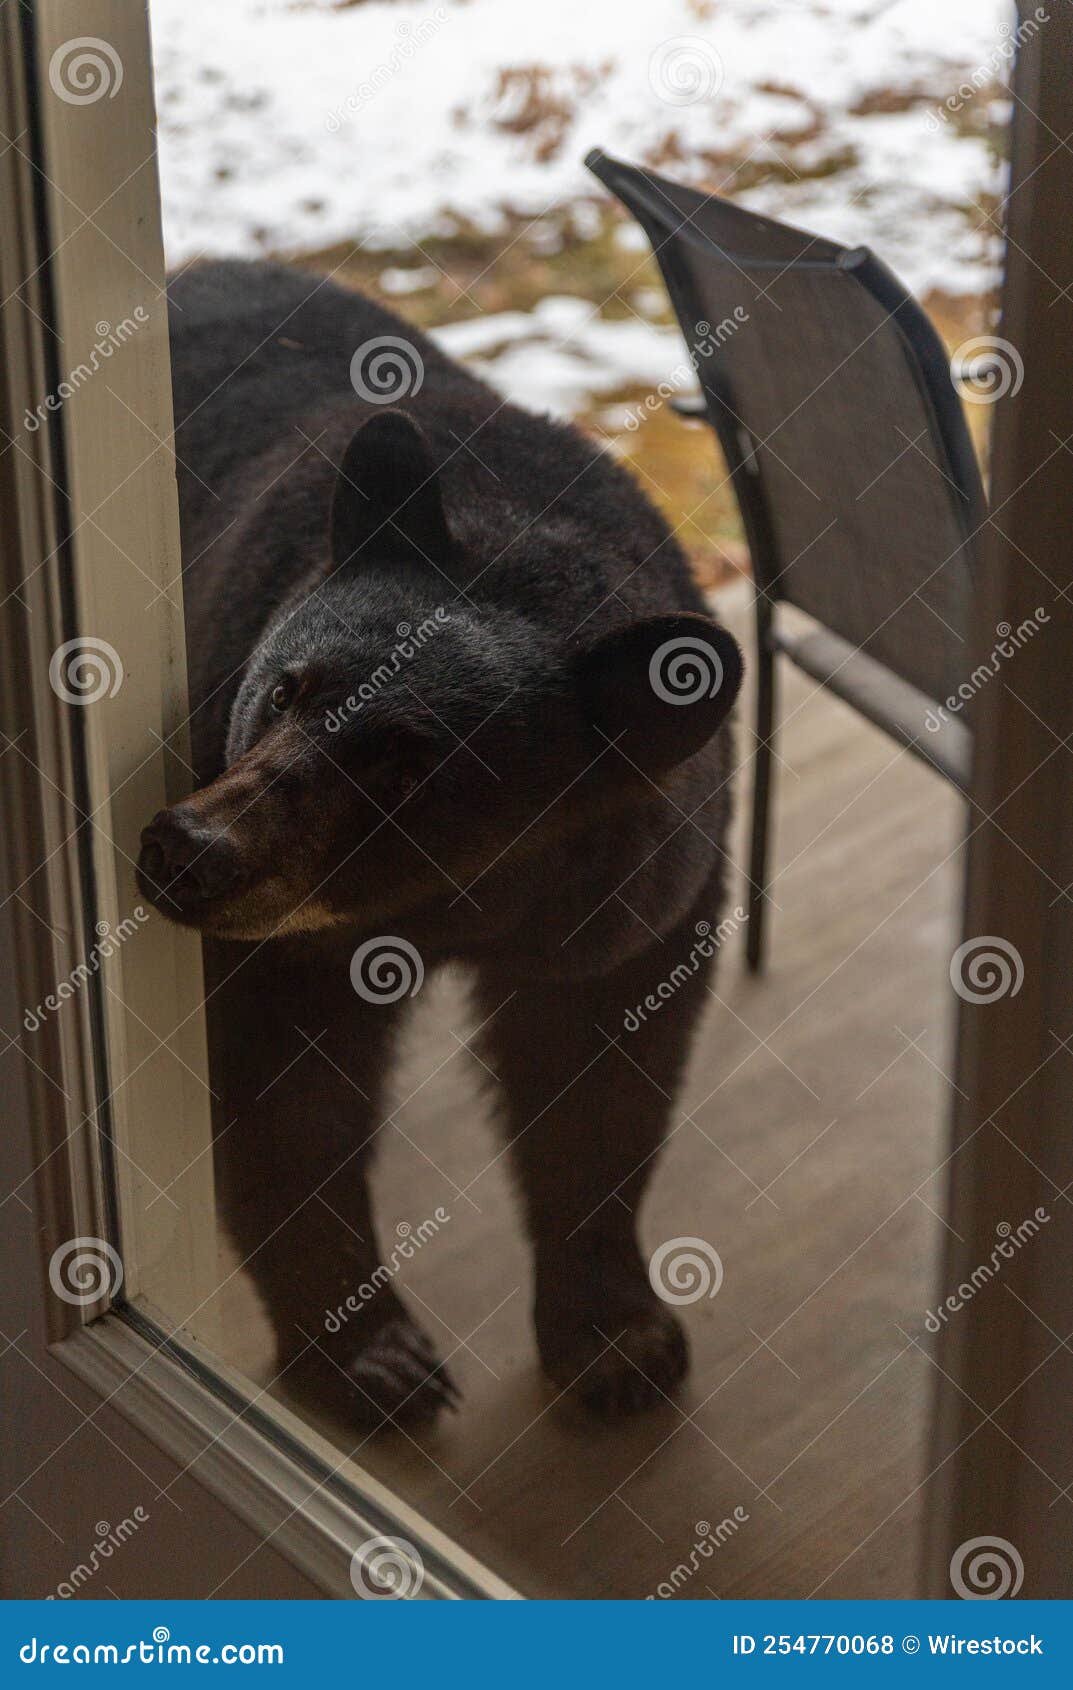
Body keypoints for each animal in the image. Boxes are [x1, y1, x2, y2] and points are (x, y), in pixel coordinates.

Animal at [136, 259, 743, 1428]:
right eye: (285, 687)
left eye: (406, 767)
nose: (189, 849)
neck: (451, 910)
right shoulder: (279, 937)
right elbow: (286, 1097)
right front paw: (370, 1351)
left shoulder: (629, 897)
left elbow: (601, 1080)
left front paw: (616, 1337)